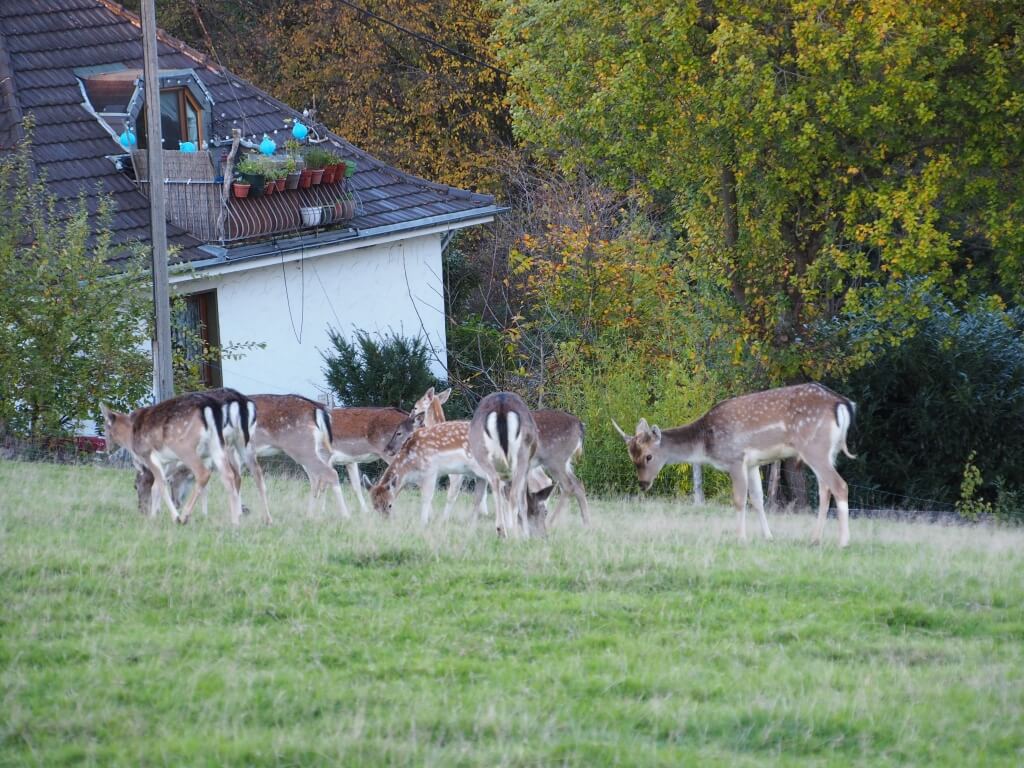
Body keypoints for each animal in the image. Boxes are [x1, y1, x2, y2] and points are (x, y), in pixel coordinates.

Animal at [102, 391, 256, 528]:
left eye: (105, 428)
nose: (107, 449)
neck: (131, 436)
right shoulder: (166, 463)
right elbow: (156, 486)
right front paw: (155, 516)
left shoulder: (150, 455)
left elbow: (162, 485)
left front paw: (173, 517)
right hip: (219, 446)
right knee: (231, 475)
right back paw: (236, 520)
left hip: (185, 447)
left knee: (204, 473)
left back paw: (184, 517)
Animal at [468, 393, 540, 536]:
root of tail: (501, 407)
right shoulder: (527, 468)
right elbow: (523, 501)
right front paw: (525, 533)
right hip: (522, 456)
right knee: (514, 495)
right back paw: (515, 534)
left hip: (482, 454)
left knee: (495, 484)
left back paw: (501, 530)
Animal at [614, 382, 856, 548]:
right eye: (631, 456)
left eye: (648, 456)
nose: (643, 483)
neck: (706, 444)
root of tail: (841, 404)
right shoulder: (753, 464)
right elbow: (758, 499)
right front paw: (768, 536)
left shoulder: (736, 458)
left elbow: (739, 500)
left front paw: (741, 537)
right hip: (827, 452)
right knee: (825, 489)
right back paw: (815, 539)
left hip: (814, 448)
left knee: (839, 485)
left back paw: (843, 542)